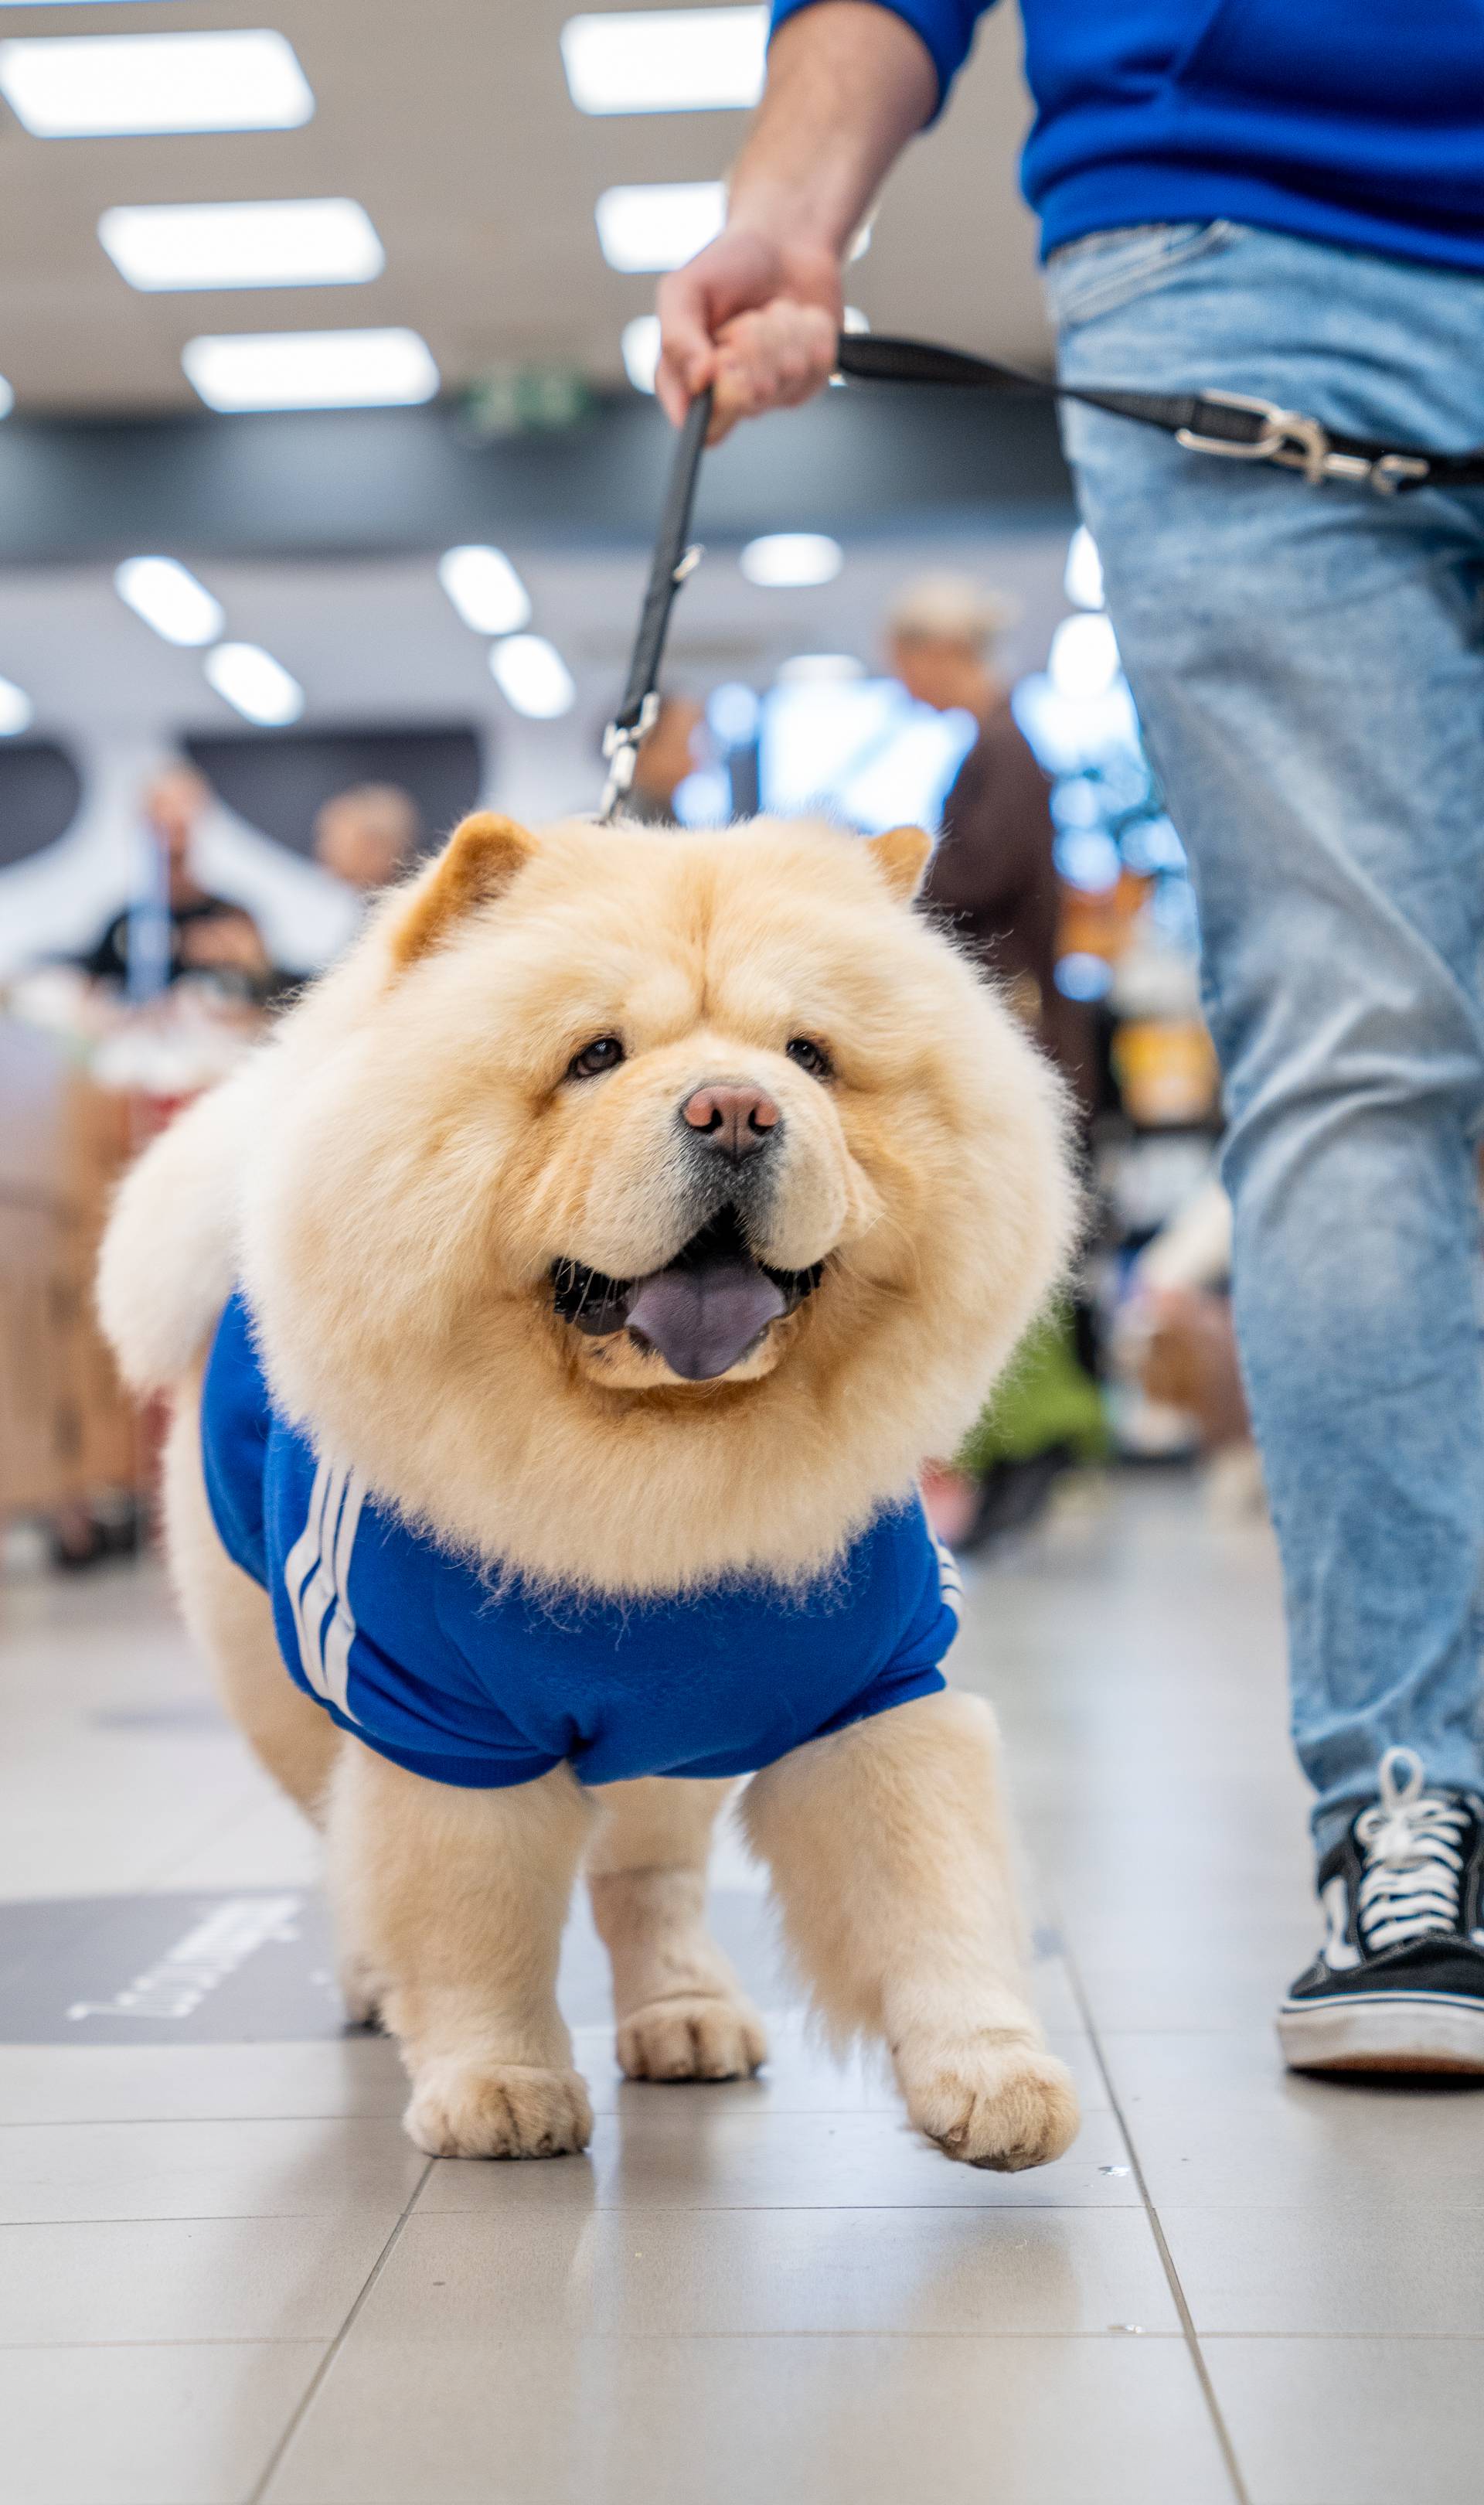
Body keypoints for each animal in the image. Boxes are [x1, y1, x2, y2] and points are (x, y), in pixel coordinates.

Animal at [101, 811, 1076, 2164]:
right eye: (595, 1055)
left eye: (811, 1057)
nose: (736, 1109)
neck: (651, 1481)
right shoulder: (438, 1723)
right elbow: (470, 1914)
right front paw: (499, 2087)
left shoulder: (873, 1682)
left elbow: (933, 1880)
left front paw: (992, 2077)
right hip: (281, 1687)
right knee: (344, 1838)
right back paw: (374, 1983)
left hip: (688, 1723)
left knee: (648, 1877)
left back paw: (688, 2016)